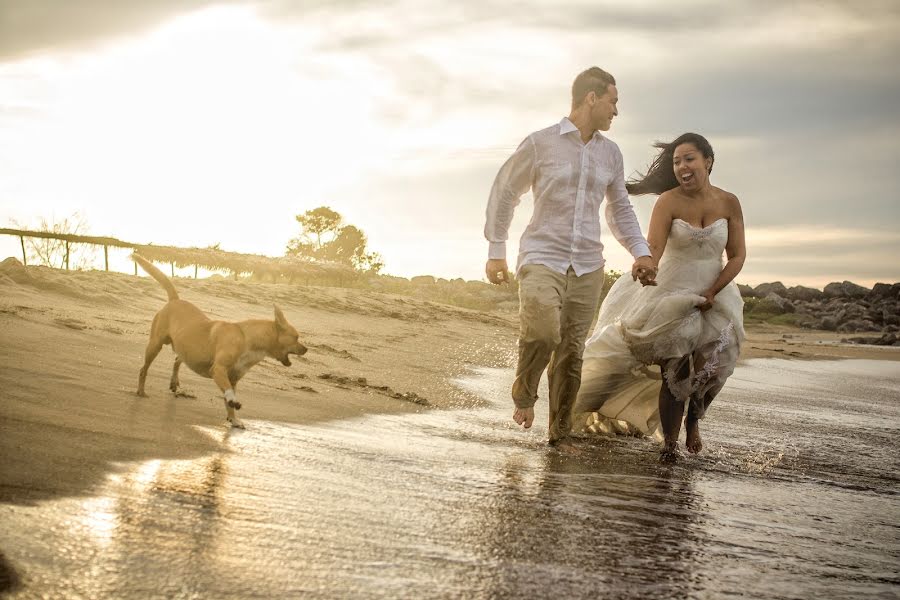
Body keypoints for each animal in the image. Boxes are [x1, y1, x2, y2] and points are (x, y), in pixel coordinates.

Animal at [131, 253, 306, 426]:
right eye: (296, 337)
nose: (306, 349)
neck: (247, 340)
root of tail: (175, 300)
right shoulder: (218, 370)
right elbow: (229, 394)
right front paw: (233, 403)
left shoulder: (234, 379)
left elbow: (228, 402)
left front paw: (233, 419)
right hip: (155, 344)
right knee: (143, 370)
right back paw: (141, 391)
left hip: (185, 347)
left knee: (177, 359)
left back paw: (174, 382)